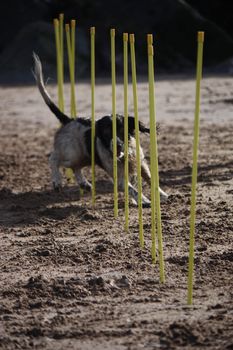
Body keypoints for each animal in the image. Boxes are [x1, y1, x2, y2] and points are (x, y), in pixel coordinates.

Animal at [32, 53, 167, 206]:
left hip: (84, 157)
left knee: (75, 167)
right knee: (54, 158)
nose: (118, 145)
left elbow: (150, 179)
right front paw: (144, 201)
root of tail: (68, 120)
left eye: (122, 129)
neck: (124, 156)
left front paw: (162, 195)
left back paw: (84, 184)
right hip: (72, 154)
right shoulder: (120, 179)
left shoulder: (141, 163)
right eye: (106, 133)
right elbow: (133, 189)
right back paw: (57, 182)